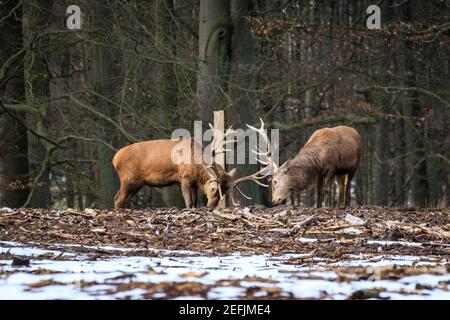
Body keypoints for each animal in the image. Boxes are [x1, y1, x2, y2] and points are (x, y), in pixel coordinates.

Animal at [232, 119, 362, 208]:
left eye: (275, 182)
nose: (274, 200)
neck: (319, 158)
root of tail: (356, 132)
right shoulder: (320, 172)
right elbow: (319, 191)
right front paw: (318, 207)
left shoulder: (332, 167)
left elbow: (326, 190)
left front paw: (327, 207)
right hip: (339, 172)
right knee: (341, 185)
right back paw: (339, 205)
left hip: (355, 163)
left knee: (347, 184)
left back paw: (346, 205)